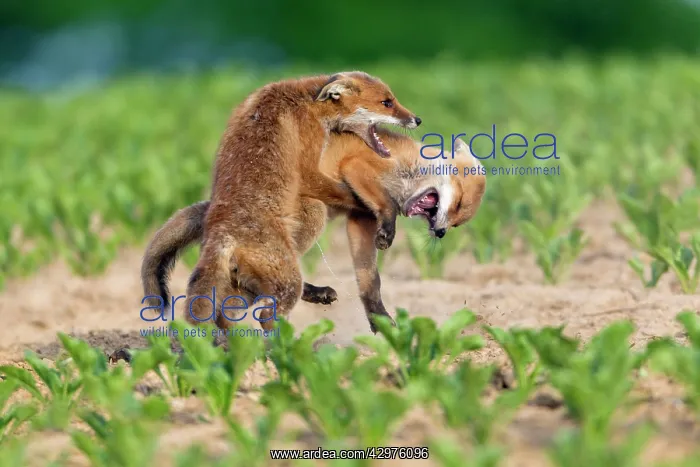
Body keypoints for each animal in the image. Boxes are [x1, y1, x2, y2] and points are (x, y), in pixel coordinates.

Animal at [141, 129, 486, 333]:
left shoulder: (359, 219)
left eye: (457, 221)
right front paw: (390, 228)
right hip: (314, 214)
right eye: (458, 205)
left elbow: (370, 283)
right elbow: (384, 206)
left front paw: (382, 323)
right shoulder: (356, 167)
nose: (440, 233)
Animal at [180, 72, 421, 331]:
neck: (307, 100)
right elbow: (353, 195)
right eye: (387, 103)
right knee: (267, 314)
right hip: (305, 234)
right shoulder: (308, 161)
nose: (417, 119)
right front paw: (386, 214)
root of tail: (224, 235)